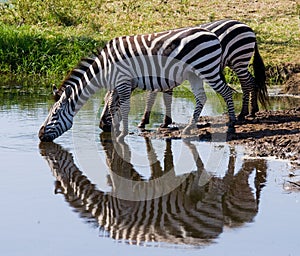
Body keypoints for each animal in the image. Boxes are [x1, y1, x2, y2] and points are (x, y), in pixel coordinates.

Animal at [39, 26, 237, 142]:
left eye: (54, 114)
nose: (40, 135)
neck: (104, 67)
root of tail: (212, 34)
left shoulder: (122, 81)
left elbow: (123, 106)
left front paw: (122, 132)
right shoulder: (117, 84)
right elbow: (111, 104)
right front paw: (114, 128)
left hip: (207, 68)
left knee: (226, 92)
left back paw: (233, 123)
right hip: (195, 74)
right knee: (202, 97)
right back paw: (189, 128)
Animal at [99, 19, 270, 132]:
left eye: (111, 103)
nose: (101, 126)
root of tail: (248, 27)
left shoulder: (157, 75)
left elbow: (152, 97)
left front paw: (144, 122)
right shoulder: (161, 77)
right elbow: (163, 96)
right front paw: (164, 121)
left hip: (238, 60)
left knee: (246, 83)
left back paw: (242, 114)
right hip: (239, 62)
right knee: (251, 81)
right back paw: (252, 110)